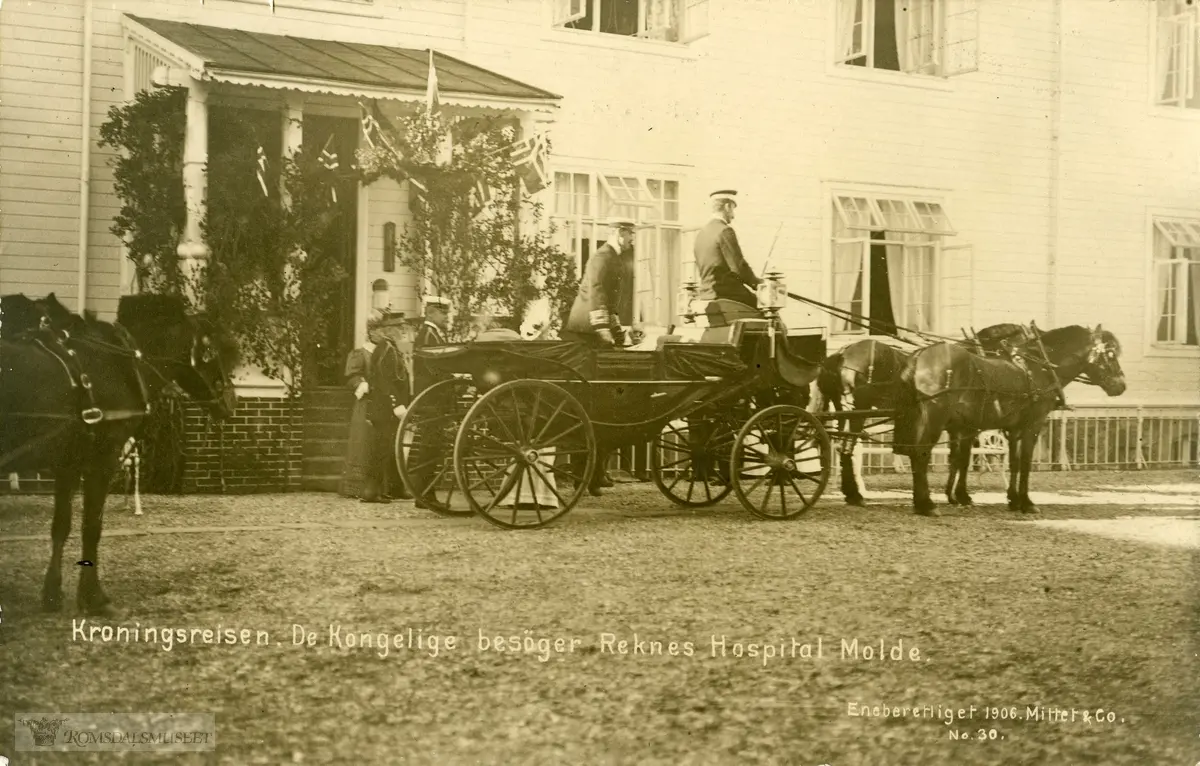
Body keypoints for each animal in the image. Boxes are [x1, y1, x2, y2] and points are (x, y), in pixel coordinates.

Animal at [0, 294, 236, 619]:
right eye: (215, 352)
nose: (230, 402)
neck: (117, 364)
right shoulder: (102, 461)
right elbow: (91, 528)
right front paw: (94, 597)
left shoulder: (68, 464)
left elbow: (61, 526)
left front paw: (52, 594)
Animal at [816, 326, 1032, 506]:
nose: (1025, 375)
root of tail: (841, 353)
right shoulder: (966, 426)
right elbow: (962, 458)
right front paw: (960, 495)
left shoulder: (956, 426)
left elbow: (956, 457)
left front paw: (953, 494)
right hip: (857, 410)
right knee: (847, 447)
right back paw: (855, 494)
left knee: (842, 446)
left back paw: (852, 493)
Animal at [897, 326, 1128, 518]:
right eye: (1110, 354)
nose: (1121, 386)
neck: (1040, 368)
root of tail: (921, 355)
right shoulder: (1032, 426)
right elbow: (1025, 462)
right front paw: (1026, 502)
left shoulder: (1012, 429)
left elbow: (1013, 463)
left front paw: (1014, 499)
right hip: (935, 418)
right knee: (921, 454)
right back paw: (926, 504)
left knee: (916, 454)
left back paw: (921, 502)